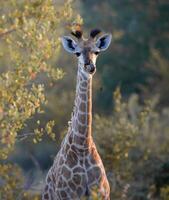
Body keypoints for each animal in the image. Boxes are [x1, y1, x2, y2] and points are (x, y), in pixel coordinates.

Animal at [41, 28, 111, 200]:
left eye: (97, 51)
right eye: (77, 53)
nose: (90, 67)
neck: (83, 145)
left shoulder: (103, 194)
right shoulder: (68, 195)